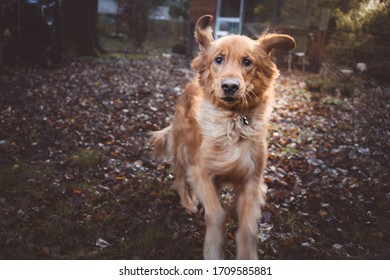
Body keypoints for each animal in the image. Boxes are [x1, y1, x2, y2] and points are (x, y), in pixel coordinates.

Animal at [150, 15, 296, 260]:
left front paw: (247, 254)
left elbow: (247, 227)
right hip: (182, 148)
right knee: (179, 179)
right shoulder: (202, 171)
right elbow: (217, 213)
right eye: (219, 59)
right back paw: (188, 203)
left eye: (247, 61)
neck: (234, 120)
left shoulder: (251, 180)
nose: (229, 86)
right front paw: (213, 249)